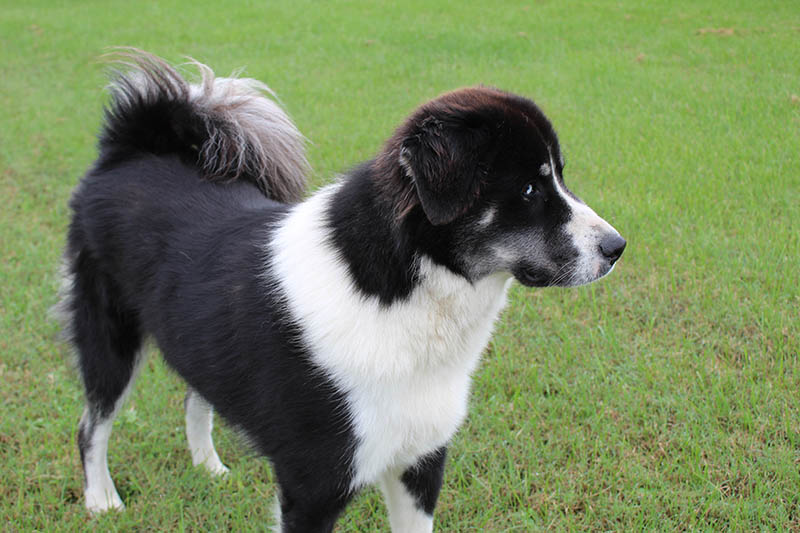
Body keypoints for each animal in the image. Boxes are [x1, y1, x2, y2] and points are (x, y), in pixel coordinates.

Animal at [56, 51, 624, 532]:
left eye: (561, 177)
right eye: (529, 189)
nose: (617, 247)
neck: (400, 292)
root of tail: (129, 152)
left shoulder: (420, 462)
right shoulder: (313, 486)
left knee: (196, 397)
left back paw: (208, 467)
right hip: (110, 340)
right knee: (92, 426)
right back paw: (101, 499)